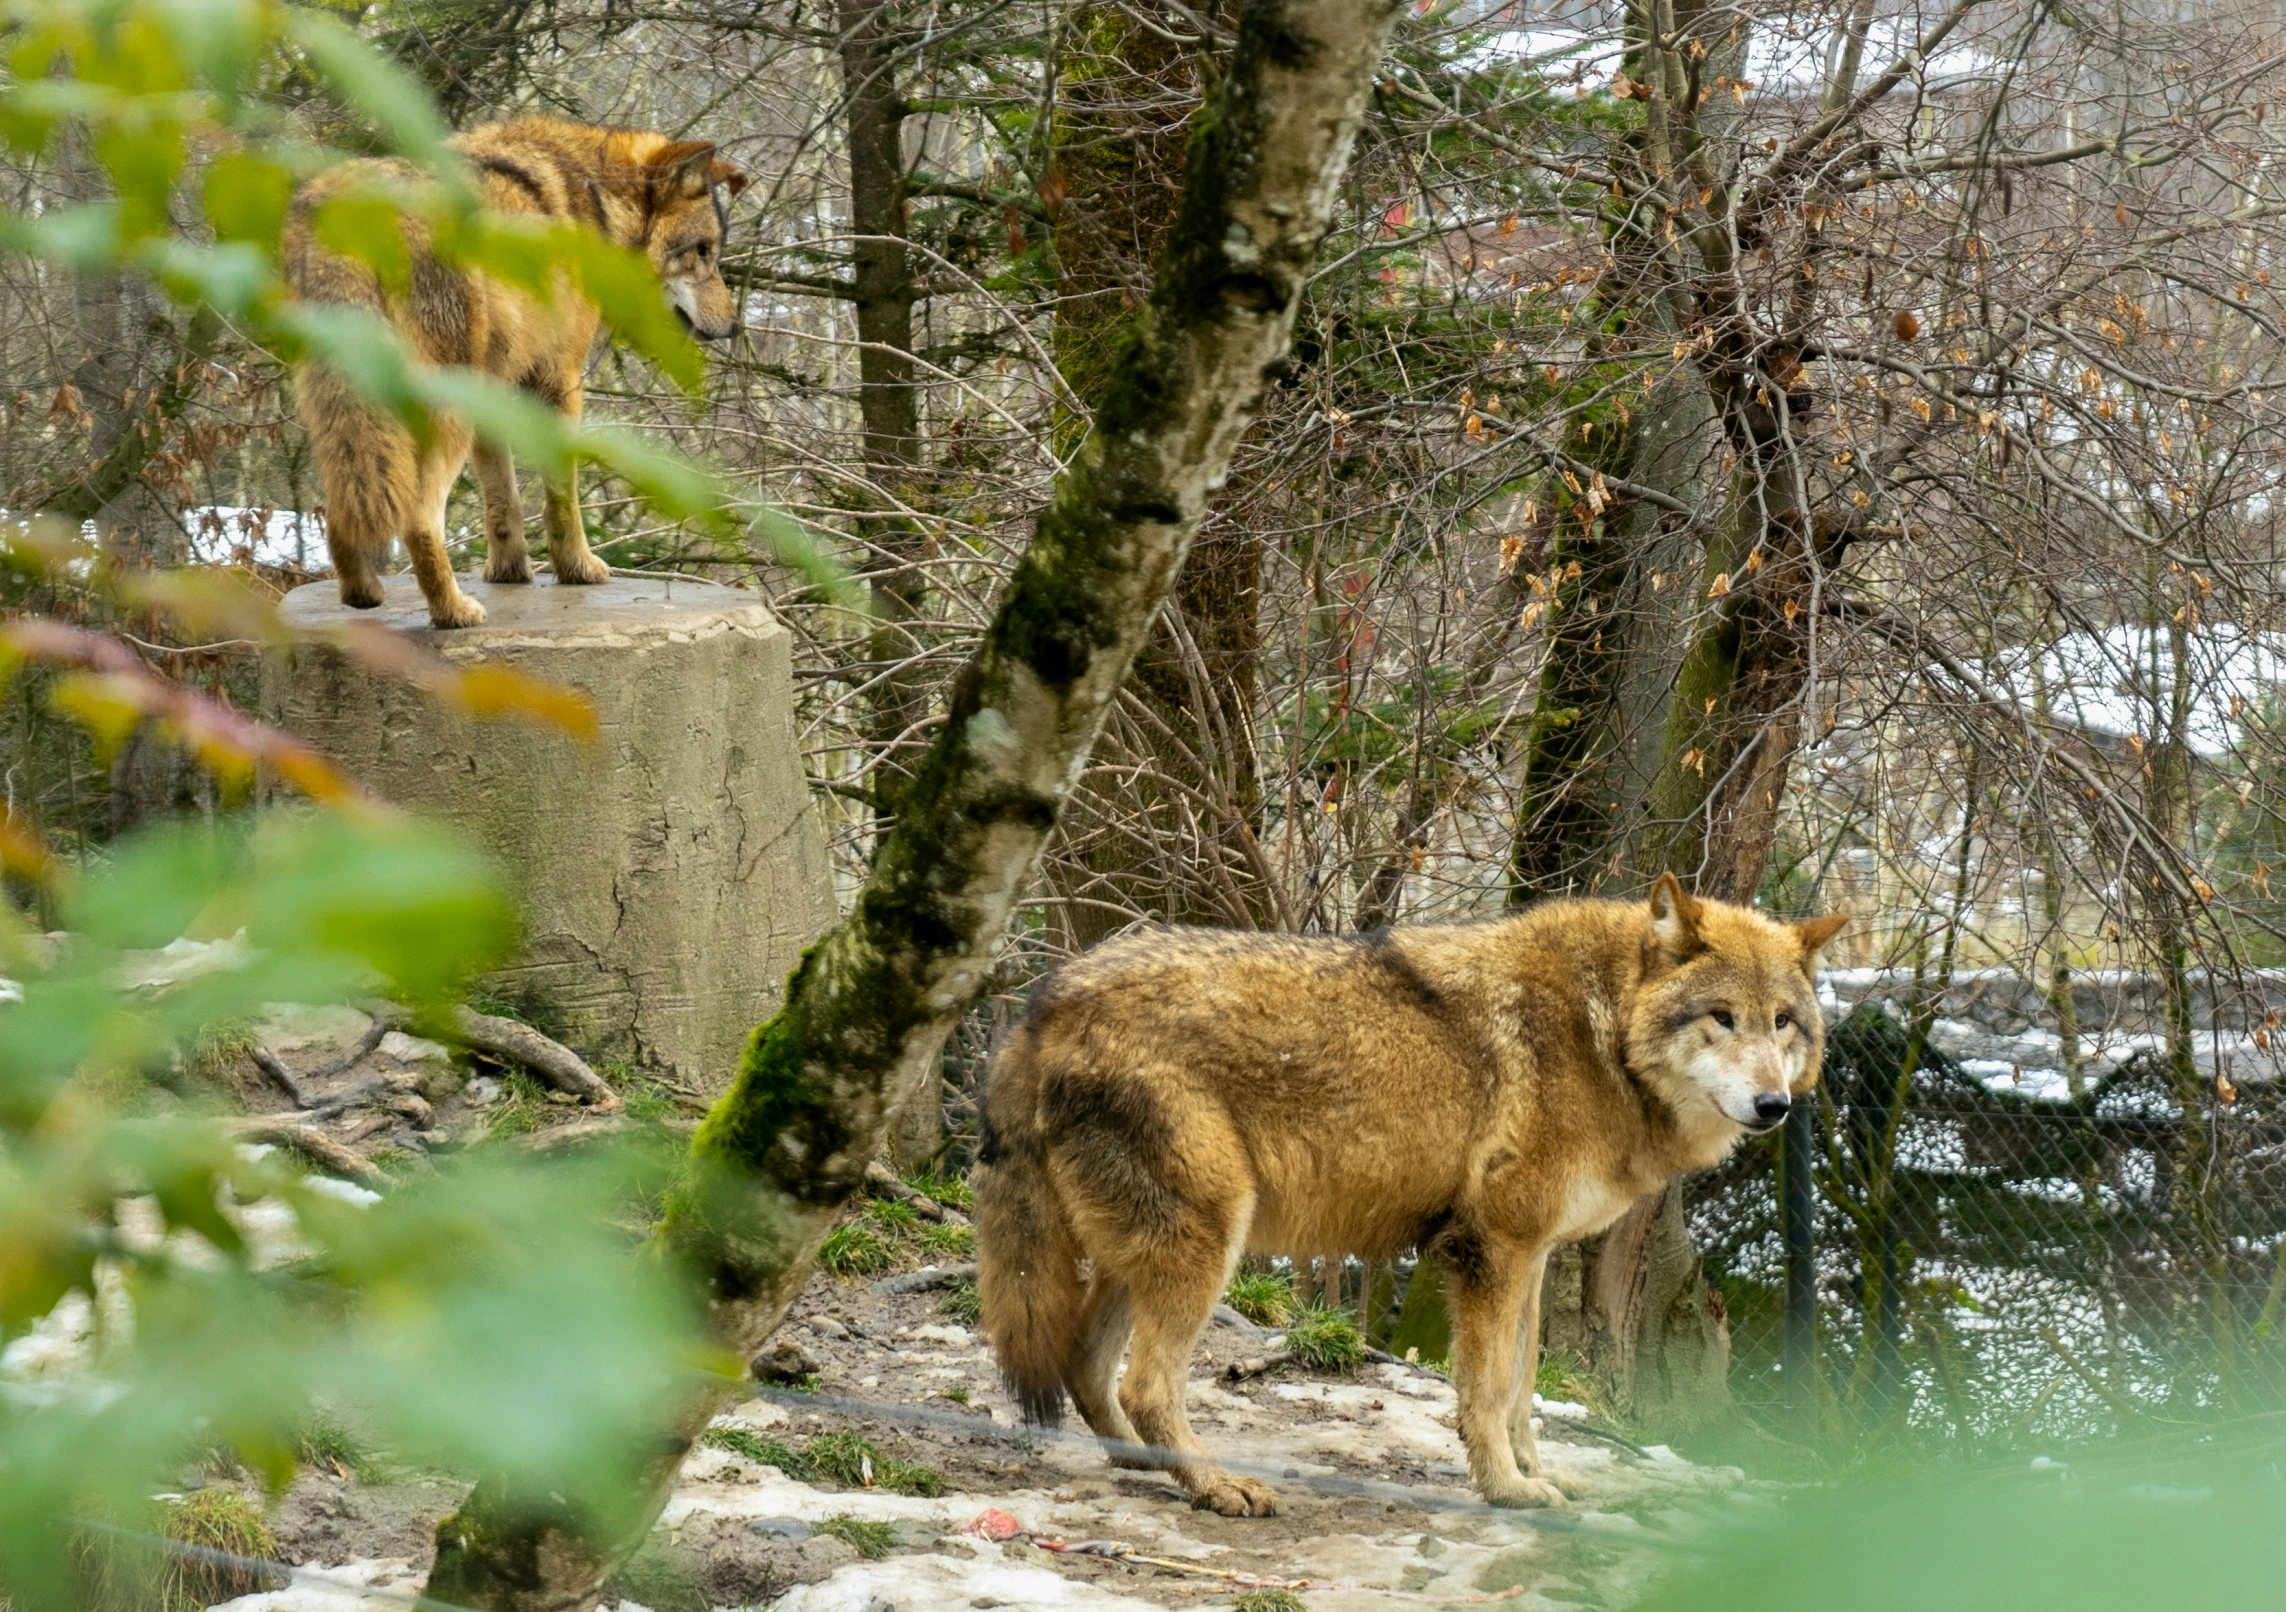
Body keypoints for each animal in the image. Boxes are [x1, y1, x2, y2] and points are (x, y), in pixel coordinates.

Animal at [282, 113, 749, 626]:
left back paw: (362, 593)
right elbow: (562, 499)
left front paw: (509, 572)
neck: (597, 202)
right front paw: (578, 569)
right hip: (443, 409)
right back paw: (453, 611)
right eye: (703, 251)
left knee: (343, 502)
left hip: (345, 410)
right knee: (419, 517)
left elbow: (501, 499)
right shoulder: (561, 382)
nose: (735, 325)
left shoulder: (494, 389)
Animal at [973, 868, 1847, 1509]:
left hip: (1152, 1255)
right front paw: (1506, 1491)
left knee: (1088, 1370)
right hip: (1207, 1245)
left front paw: (1538, 1475)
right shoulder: (1491, 1251)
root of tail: (1047, 1000)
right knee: (1147, 1385)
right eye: (1722, 1018)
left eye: (1782, 1022)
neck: (1604, 1037)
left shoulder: (1531, 1257)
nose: (1774, 1106)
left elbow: (1523, 1389)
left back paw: (1152, 1467)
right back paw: (1215, 1485)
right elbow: (1486, 1393)